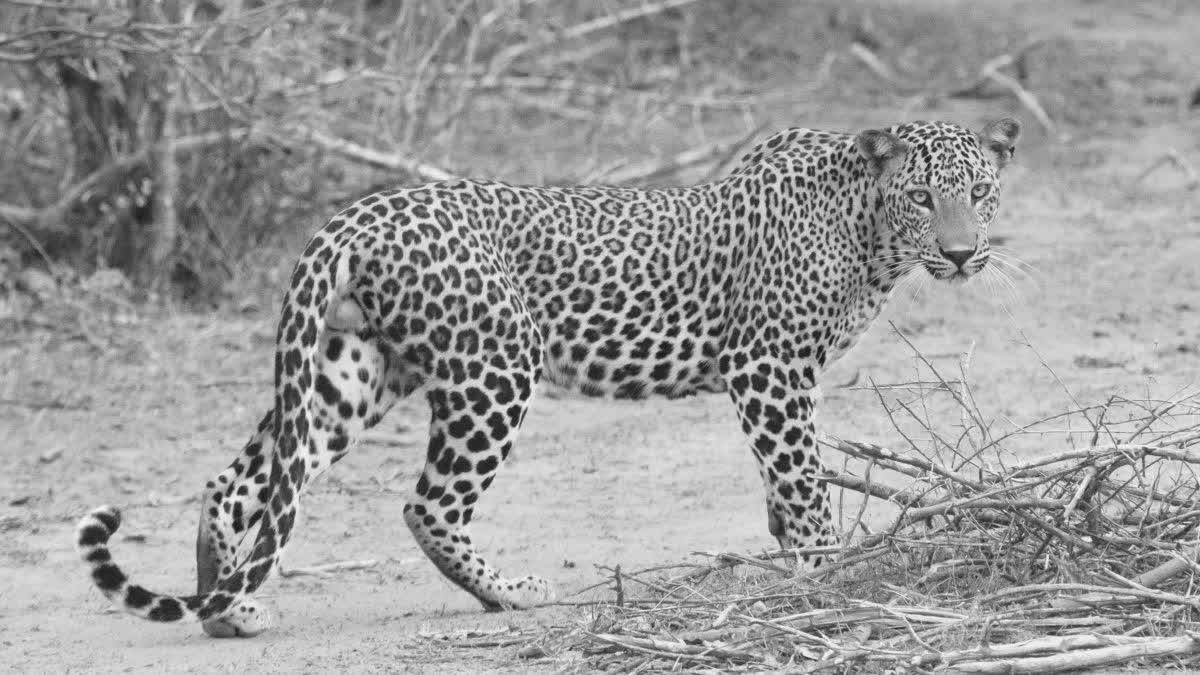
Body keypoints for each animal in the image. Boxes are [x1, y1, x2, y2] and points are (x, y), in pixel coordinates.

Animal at [75, 115, 1022, 634]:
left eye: (980, 192)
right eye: (924, 198)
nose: (962, 252)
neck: (869, 232)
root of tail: (356, 213)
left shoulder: (780, 376)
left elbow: (783, 486)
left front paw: (797, 561)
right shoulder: (769, 366)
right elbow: (801, 478)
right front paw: (827, 572)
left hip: (353, 371)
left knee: (245, 481)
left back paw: (228, 605)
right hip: (494, 367)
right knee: (426, 503)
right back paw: (512, 594)